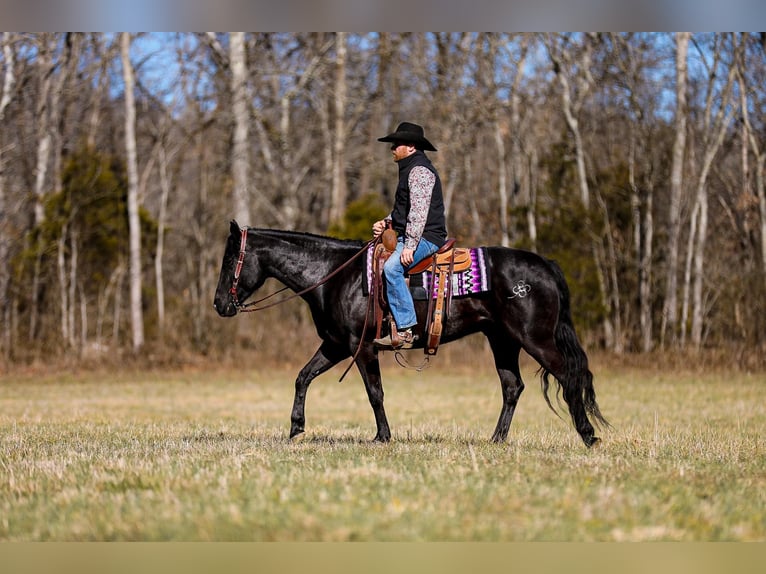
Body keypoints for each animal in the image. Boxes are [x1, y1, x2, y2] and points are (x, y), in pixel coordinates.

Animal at [213, 223, 608, 448]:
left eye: (231, 258)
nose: (220, 304)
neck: (334, 275)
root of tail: (546, 266)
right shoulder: (336, 344)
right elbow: (302, 377)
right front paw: (296, 427)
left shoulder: (361, 347)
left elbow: (374, 392)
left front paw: (382, 437)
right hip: (503, 341)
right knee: (513, 387)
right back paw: (496, 440)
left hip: (535, 339)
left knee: (568, 377)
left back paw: (589, 436)